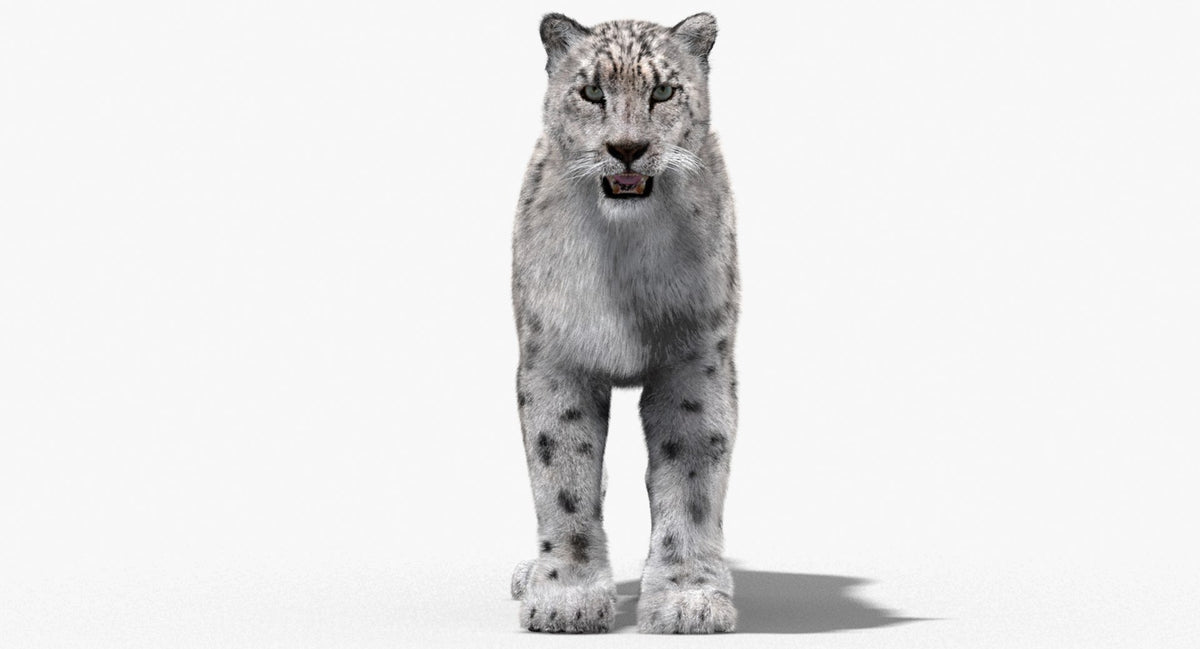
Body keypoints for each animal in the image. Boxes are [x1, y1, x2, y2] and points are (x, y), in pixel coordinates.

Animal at [509, 12, 740, 634]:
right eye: (592, 91)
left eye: (662, 91)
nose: (628, 148)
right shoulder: (556, 360)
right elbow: (563, 476)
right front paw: (565, 597)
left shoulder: (694, 364)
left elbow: (691, 479)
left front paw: (688, 598)